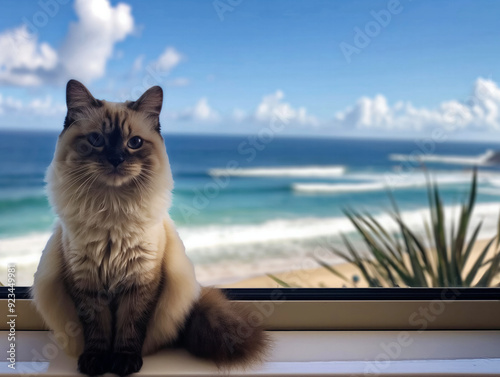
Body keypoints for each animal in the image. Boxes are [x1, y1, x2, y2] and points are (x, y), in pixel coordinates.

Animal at [31, 78, 270, 374]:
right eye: (96, 140)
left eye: (134, 143)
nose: (116, 159)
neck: (112, 210)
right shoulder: (87, 285)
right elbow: (98, 331)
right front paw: (97, 362)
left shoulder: (140, 281)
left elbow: (129, 329)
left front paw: (124, 362)